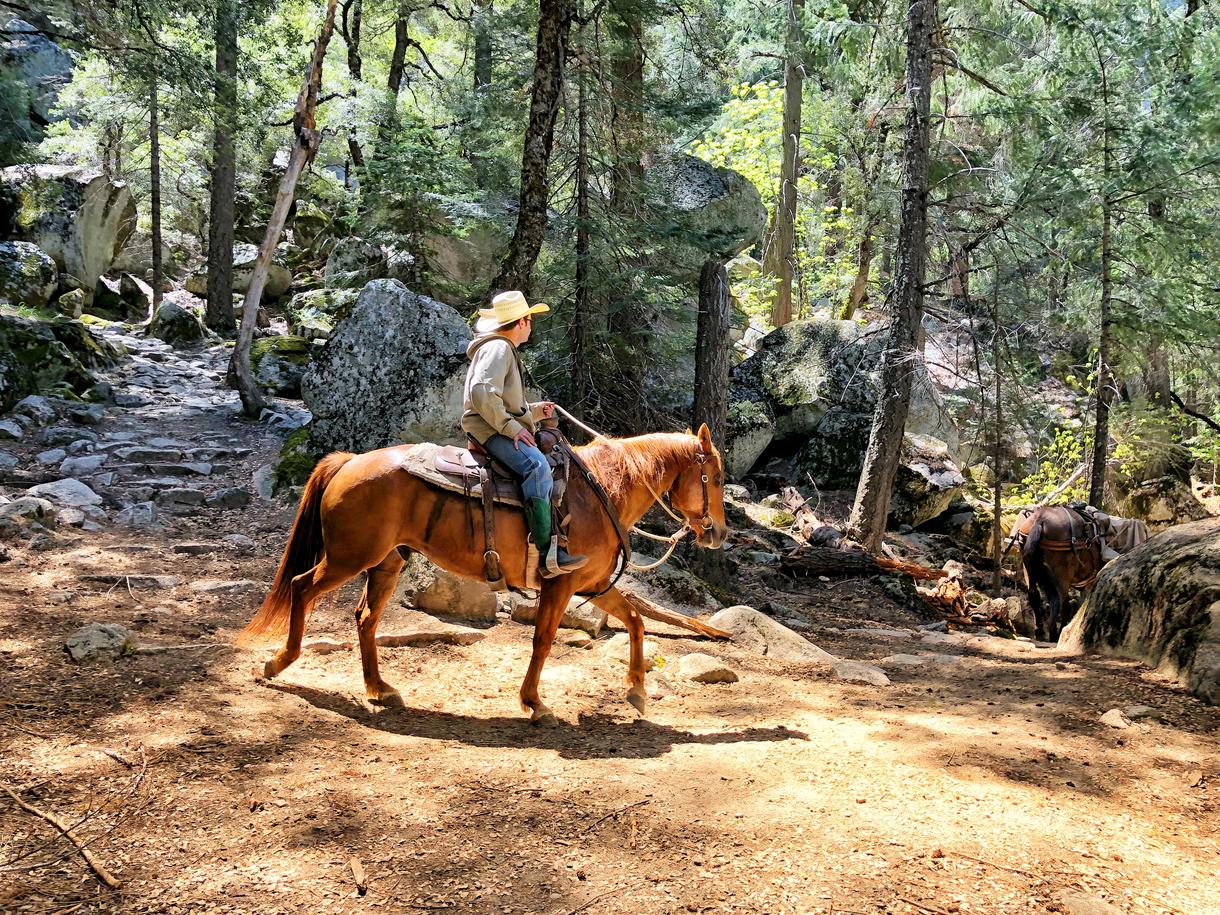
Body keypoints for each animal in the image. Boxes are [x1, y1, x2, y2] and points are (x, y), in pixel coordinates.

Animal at [242, 424, 727, 722]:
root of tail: (348, 461)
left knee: (365, 618)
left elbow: (635, 619)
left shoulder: (590, 583)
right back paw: (278, 662)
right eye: (717, 478)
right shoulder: (561, 583)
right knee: (302, 588)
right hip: (349, 557)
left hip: (387, 562)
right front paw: (534, 702)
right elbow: (543, 640)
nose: (719, 532)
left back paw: (379, 688)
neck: (603, 489)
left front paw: (636, 691)